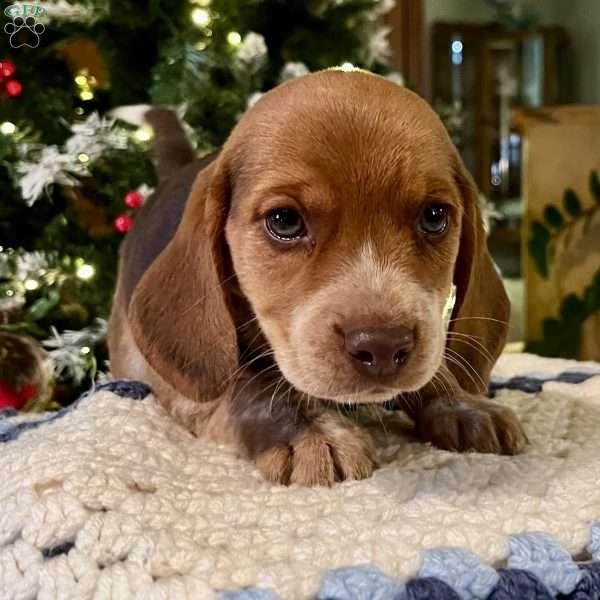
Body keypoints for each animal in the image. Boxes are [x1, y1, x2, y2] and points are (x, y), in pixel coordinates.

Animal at [108, 68, 524, 486]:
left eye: (434, 216)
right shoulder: (188, 389)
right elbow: (248, 386)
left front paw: (463, 405)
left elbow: (435, 370)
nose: (383, 347)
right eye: (284, 220)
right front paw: (309, 431)